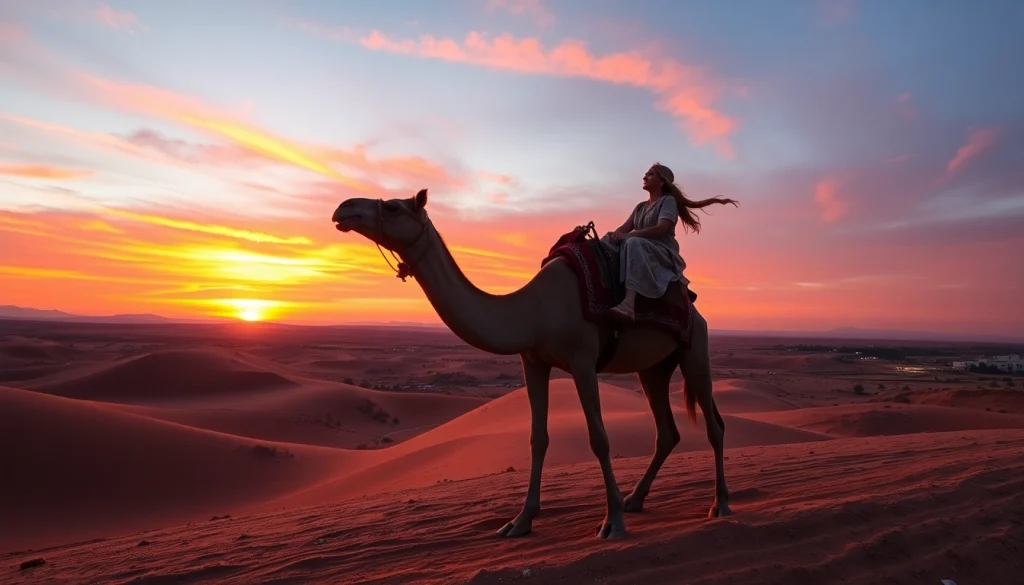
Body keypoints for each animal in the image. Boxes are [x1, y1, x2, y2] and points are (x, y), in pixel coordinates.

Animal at [332, 189, 730, 539]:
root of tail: (692, 304)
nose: (344, 208)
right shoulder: (533, 362)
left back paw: (719, 504)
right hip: (652, 368)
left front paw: (612, 522)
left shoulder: (582, 361)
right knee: (667, 432)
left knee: (714, 425)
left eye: (394, 207)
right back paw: (636, 499)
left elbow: (599, 439)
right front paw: (520, 521)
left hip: (695, 350)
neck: (534, 310)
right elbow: (537, 438)